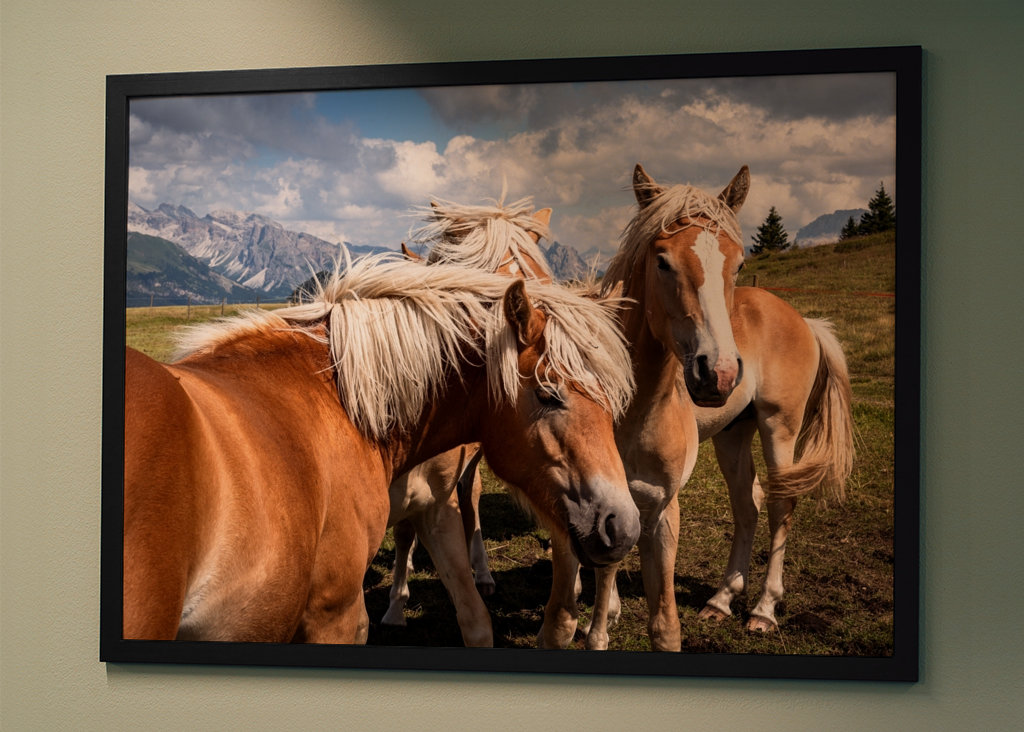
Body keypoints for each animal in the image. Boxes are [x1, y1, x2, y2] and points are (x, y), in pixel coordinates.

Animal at [122, 254, 641, 644]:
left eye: (614, 401)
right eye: (549, 394)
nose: (623, 525)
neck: (341, 399)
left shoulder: (435, 513)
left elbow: (475, 618)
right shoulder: (333, 610)